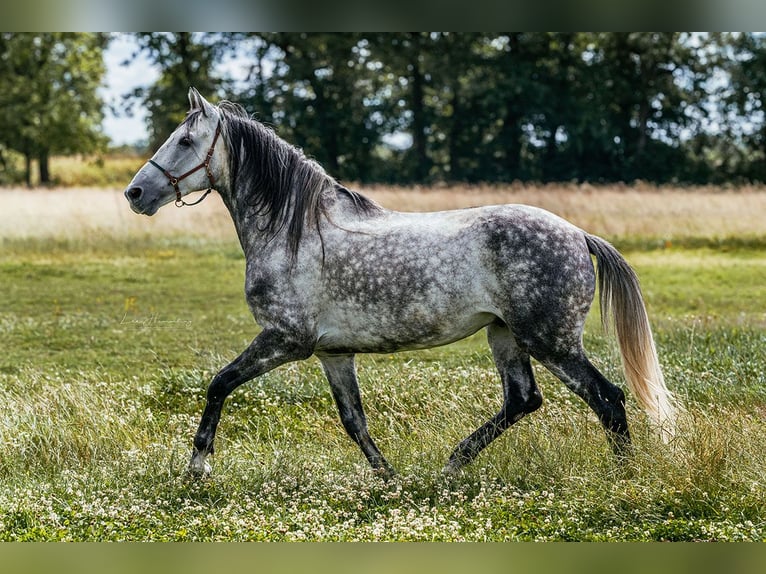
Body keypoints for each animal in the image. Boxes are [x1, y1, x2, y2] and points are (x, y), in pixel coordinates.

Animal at [126, 86, 680, 482]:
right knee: (523, 399)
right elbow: (353, 420)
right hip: (504, 335)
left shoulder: (285, 340)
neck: (294, 229)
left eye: (184, 141)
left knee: (608, 398)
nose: (135, 193)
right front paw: (389, 479)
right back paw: (452, 465)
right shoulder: (332, 353)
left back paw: (622, 478)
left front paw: (197, 469)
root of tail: (578, 235)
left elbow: (219, 384)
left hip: (552, 341)